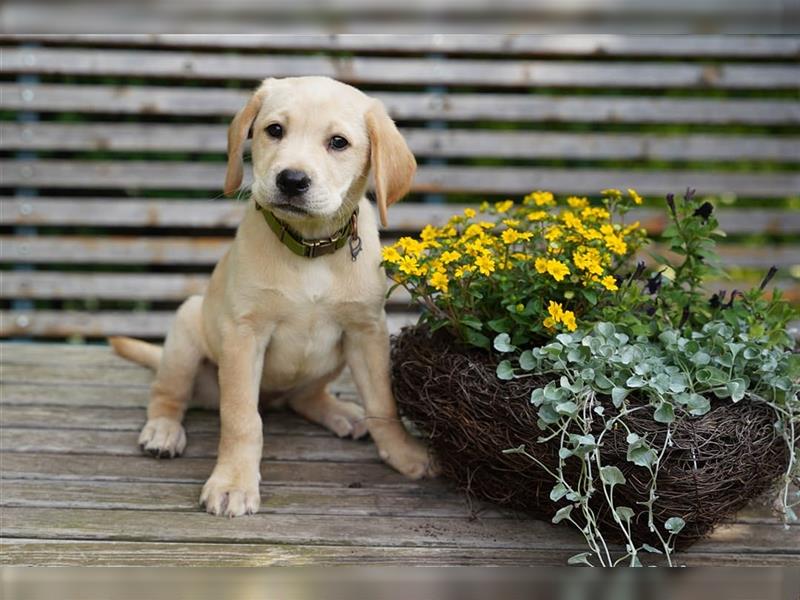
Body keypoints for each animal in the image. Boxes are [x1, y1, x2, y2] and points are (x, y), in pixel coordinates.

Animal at [108, 75, 438, 516]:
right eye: (274, 130)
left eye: (338, 142)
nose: (291, 180)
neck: (311, 247)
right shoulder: (244, 336)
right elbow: (242, 419)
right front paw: (233, 483)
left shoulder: (367, 331)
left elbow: (384, 404)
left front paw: (405, 454)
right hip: (185, 331)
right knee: (168, 393)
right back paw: (163, 430)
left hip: (334, 358)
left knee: (304, 398)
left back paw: (341, 412)